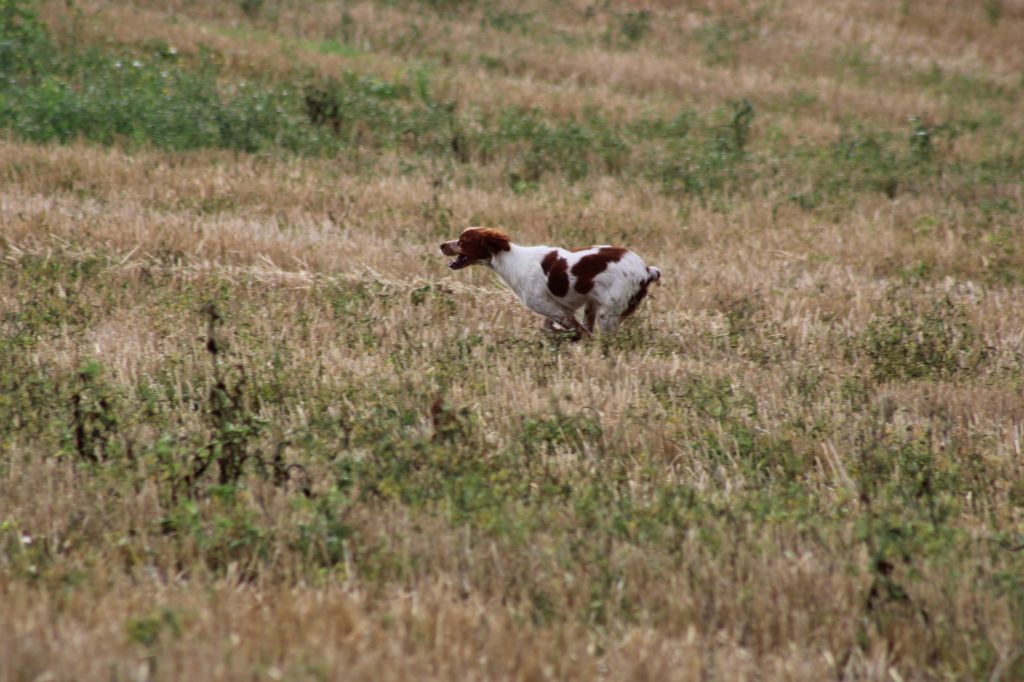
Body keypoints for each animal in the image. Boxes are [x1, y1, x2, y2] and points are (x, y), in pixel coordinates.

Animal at [436, 227, 659, 335]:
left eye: (462, 241)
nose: (441, 245)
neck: (512, 260)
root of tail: (647, 270)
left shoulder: (556, 310)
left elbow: (579, 333)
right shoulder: (553, 312)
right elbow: (549, 330)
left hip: (607, 314)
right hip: (593, 305)